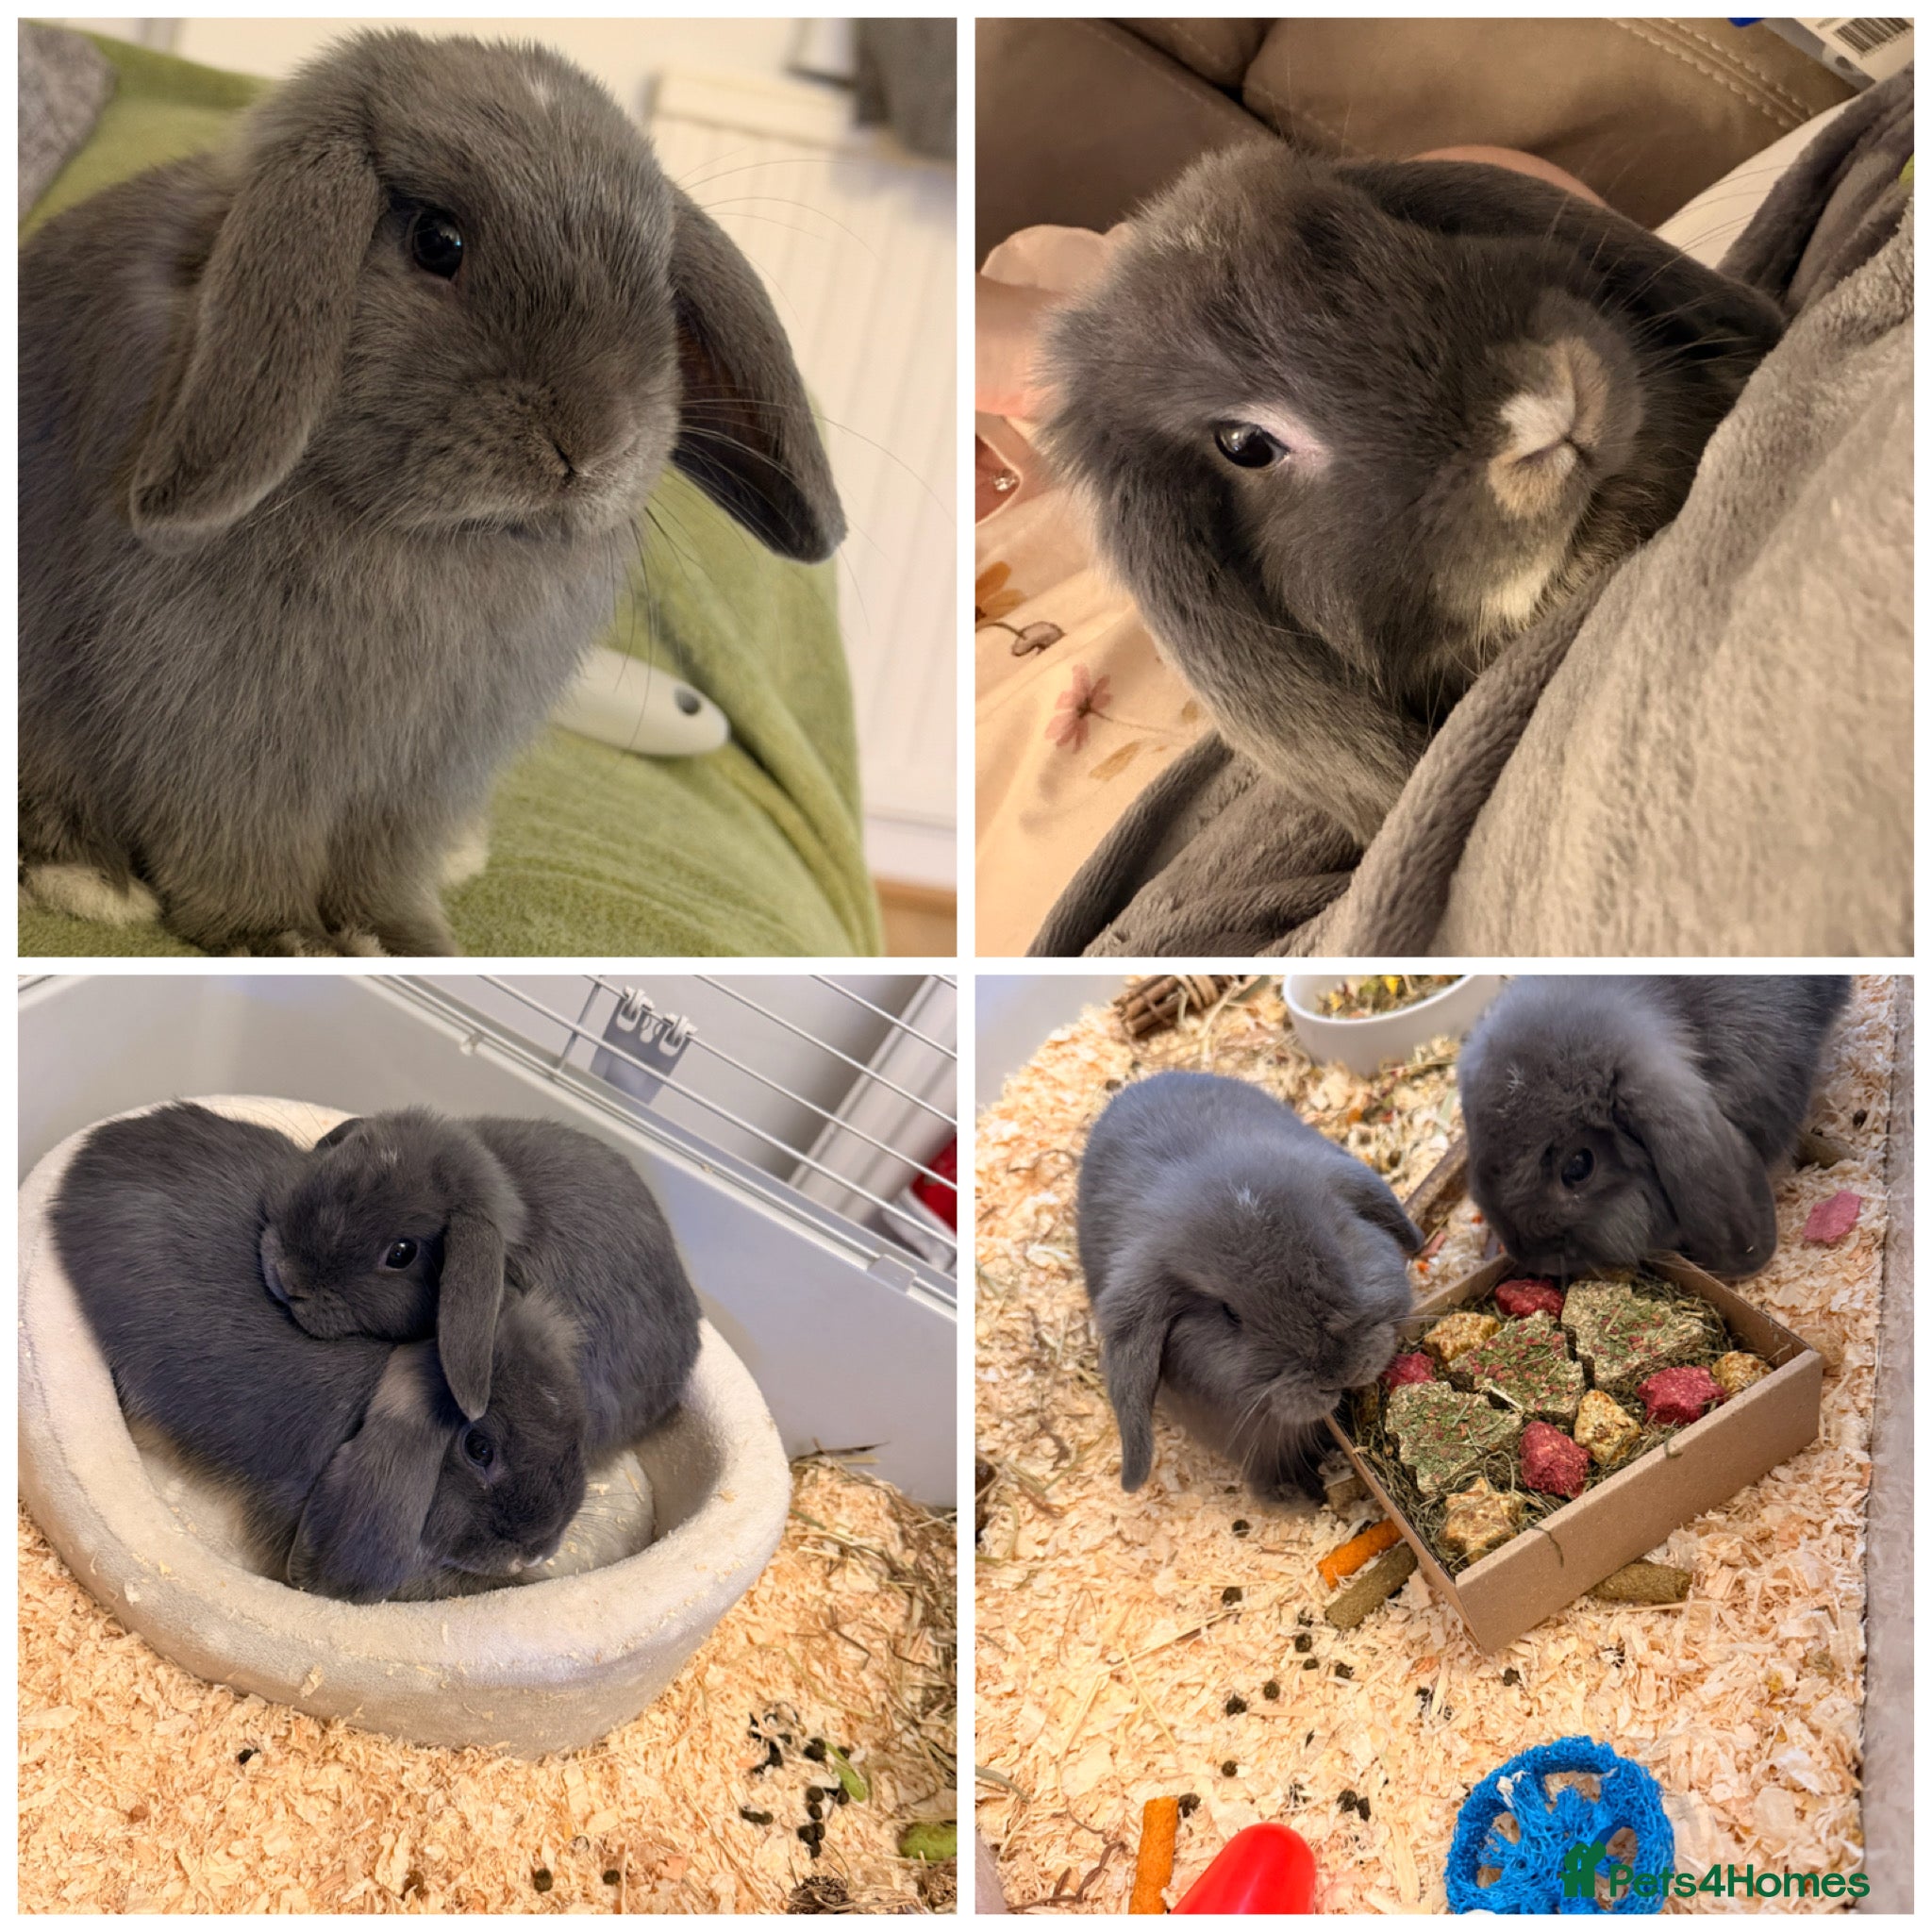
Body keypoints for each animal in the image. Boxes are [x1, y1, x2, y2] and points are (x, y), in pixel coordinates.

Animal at [20, 28, 844, 957]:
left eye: (663, 286)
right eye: (437, 242)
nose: (592, 445)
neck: (442, 540)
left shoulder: (422, 777)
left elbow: (385, 868)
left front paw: (405, 940)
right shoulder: (232, 739)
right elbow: (241, 846)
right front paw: (279, 937)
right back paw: (87, 876)